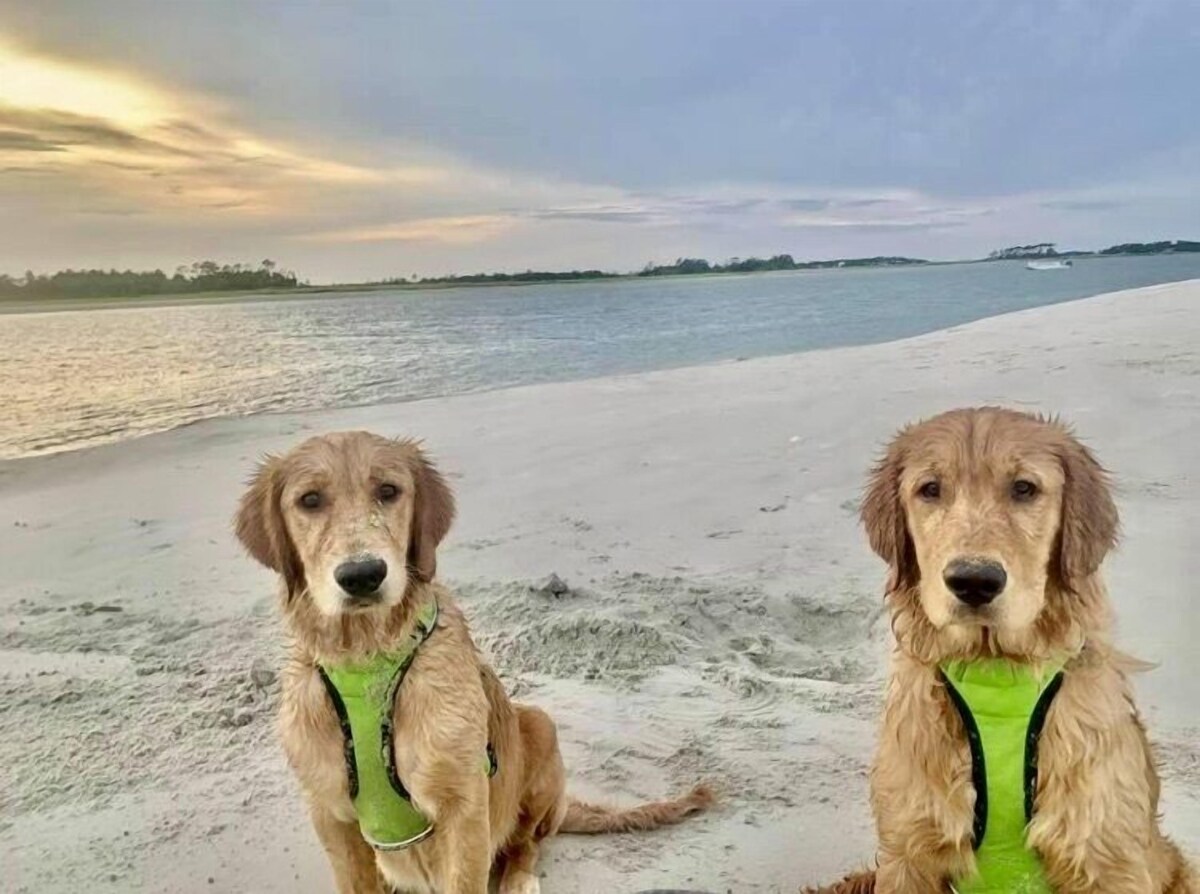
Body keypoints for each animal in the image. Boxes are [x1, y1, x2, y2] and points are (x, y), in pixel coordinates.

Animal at [234, 429, 710, 888]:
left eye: (388, 491)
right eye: (309, 500)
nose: (362, 575)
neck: (368, 659)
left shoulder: (463, 809)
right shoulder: (331, 815)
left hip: (539, 727)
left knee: (526, 842)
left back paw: (520, 879)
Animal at [806, 408, 1190, 892]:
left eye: (1024, 488)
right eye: (930, 488)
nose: (974, 580)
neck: (993, 668)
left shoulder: (1106, 857)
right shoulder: (909, 852)